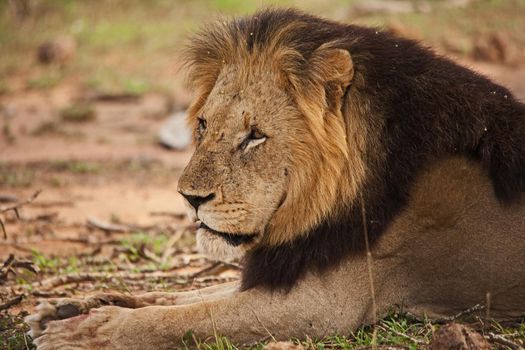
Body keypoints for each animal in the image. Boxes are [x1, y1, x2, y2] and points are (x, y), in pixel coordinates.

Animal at [25, 8, 524, 350]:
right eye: (203, 125)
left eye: (254, 137)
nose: (190, 198)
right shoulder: (283, 268)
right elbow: (179, 297)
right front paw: (70, 307)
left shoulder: (320, 306)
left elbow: (186, 320)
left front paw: (88, 330)